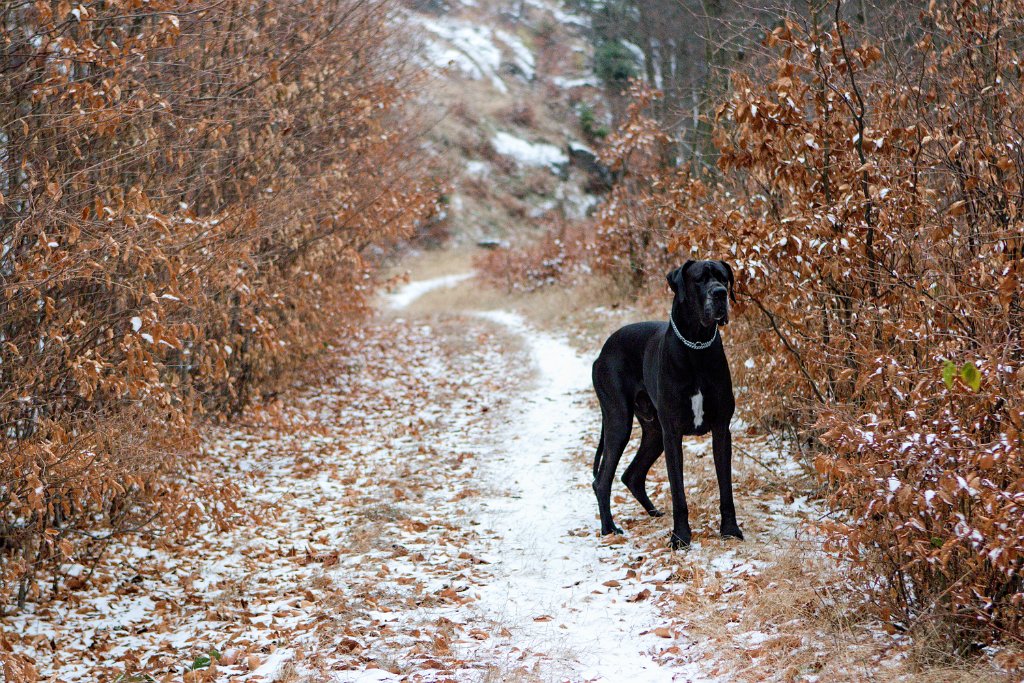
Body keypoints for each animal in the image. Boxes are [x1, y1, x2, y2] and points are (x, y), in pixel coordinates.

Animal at [593, 260, 745, 548]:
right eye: (699, 279)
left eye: (723, 278)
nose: (720, 294)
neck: (696, 346)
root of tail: (602, 351)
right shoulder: (672, 434)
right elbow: (678, 493)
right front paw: (681, 537)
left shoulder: (721, 430)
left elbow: (726, 488)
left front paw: (730, 530)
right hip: (619, 422)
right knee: (602, 479)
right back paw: (609, 528)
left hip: (654, 432)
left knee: (631, 474)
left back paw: (653, 512)